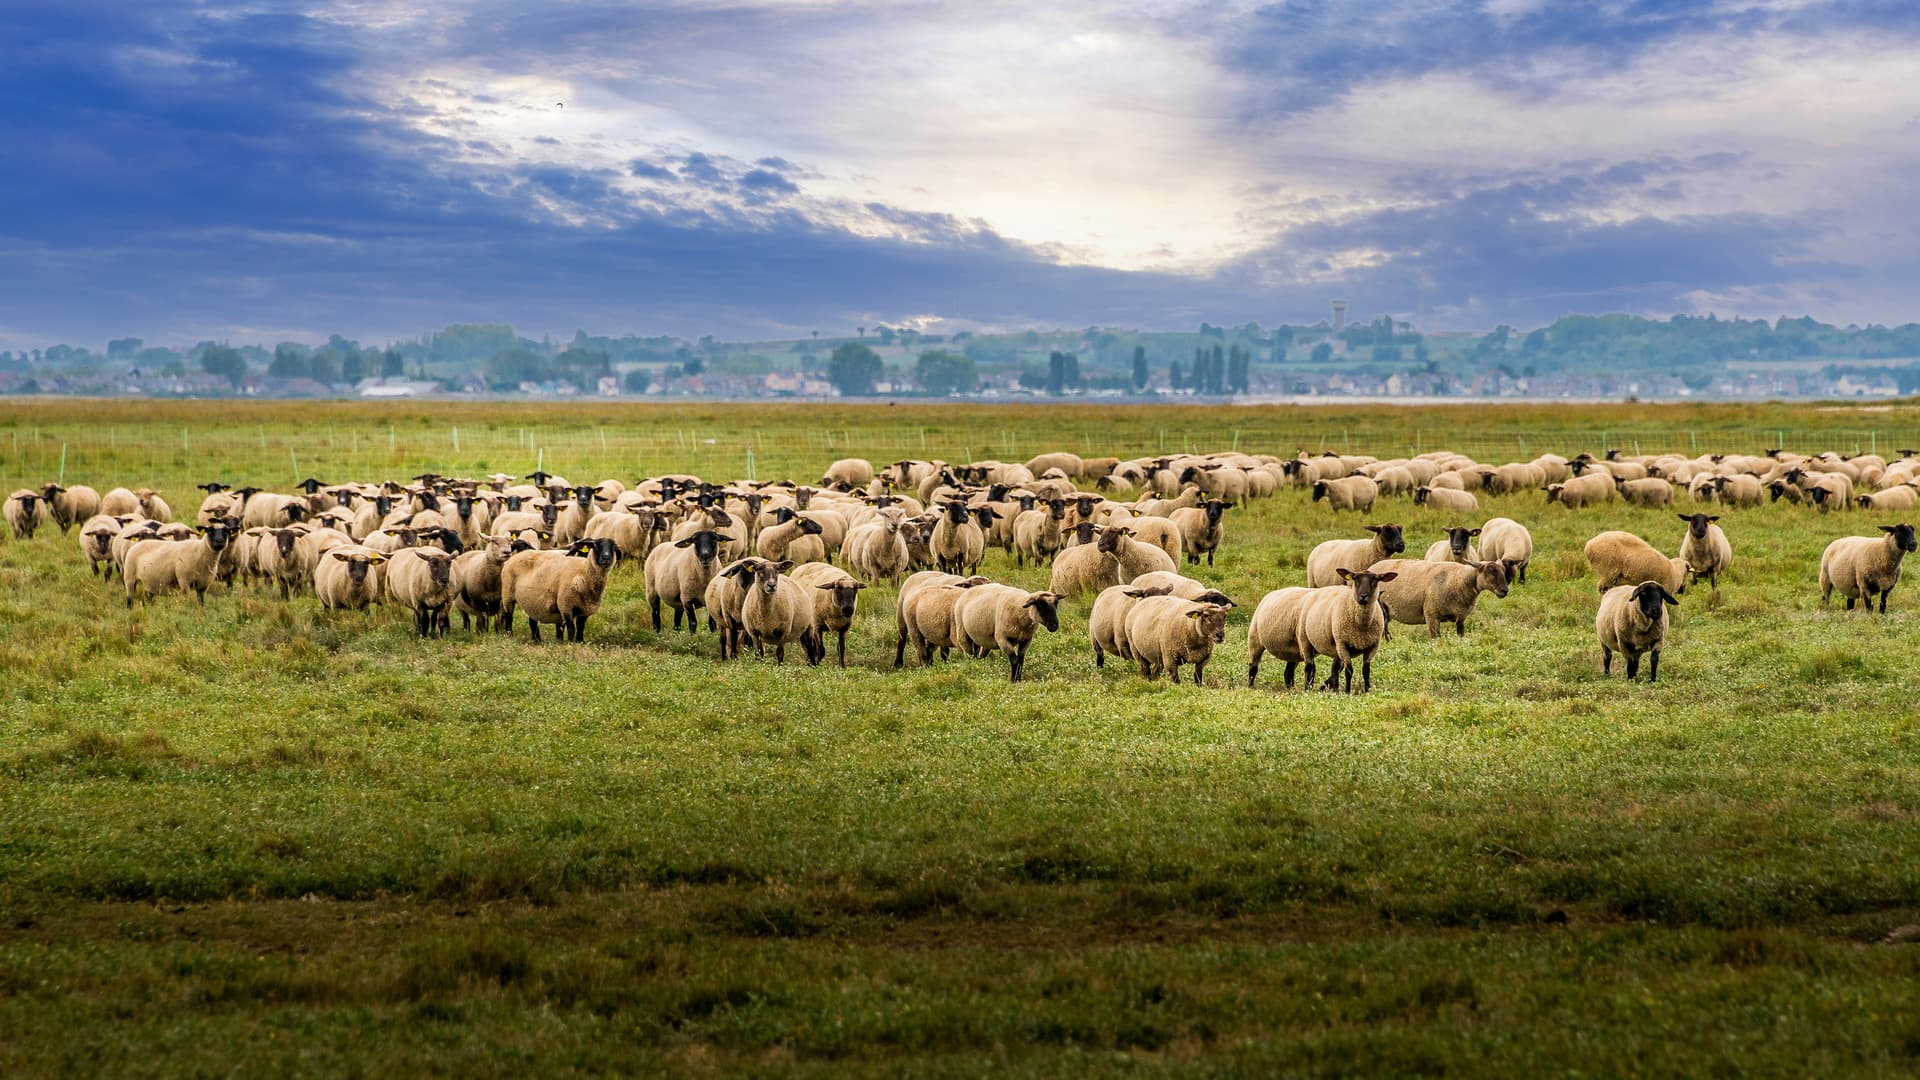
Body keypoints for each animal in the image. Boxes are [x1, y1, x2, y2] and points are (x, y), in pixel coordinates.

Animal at [1367, 558, 1509, 637]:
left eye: (1503, 570)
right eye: (1490, 571)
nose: (1505, 590)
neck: (1459, 580)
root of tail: (1371, 567)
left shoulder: (1461, 619)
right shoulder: (1431, 615)